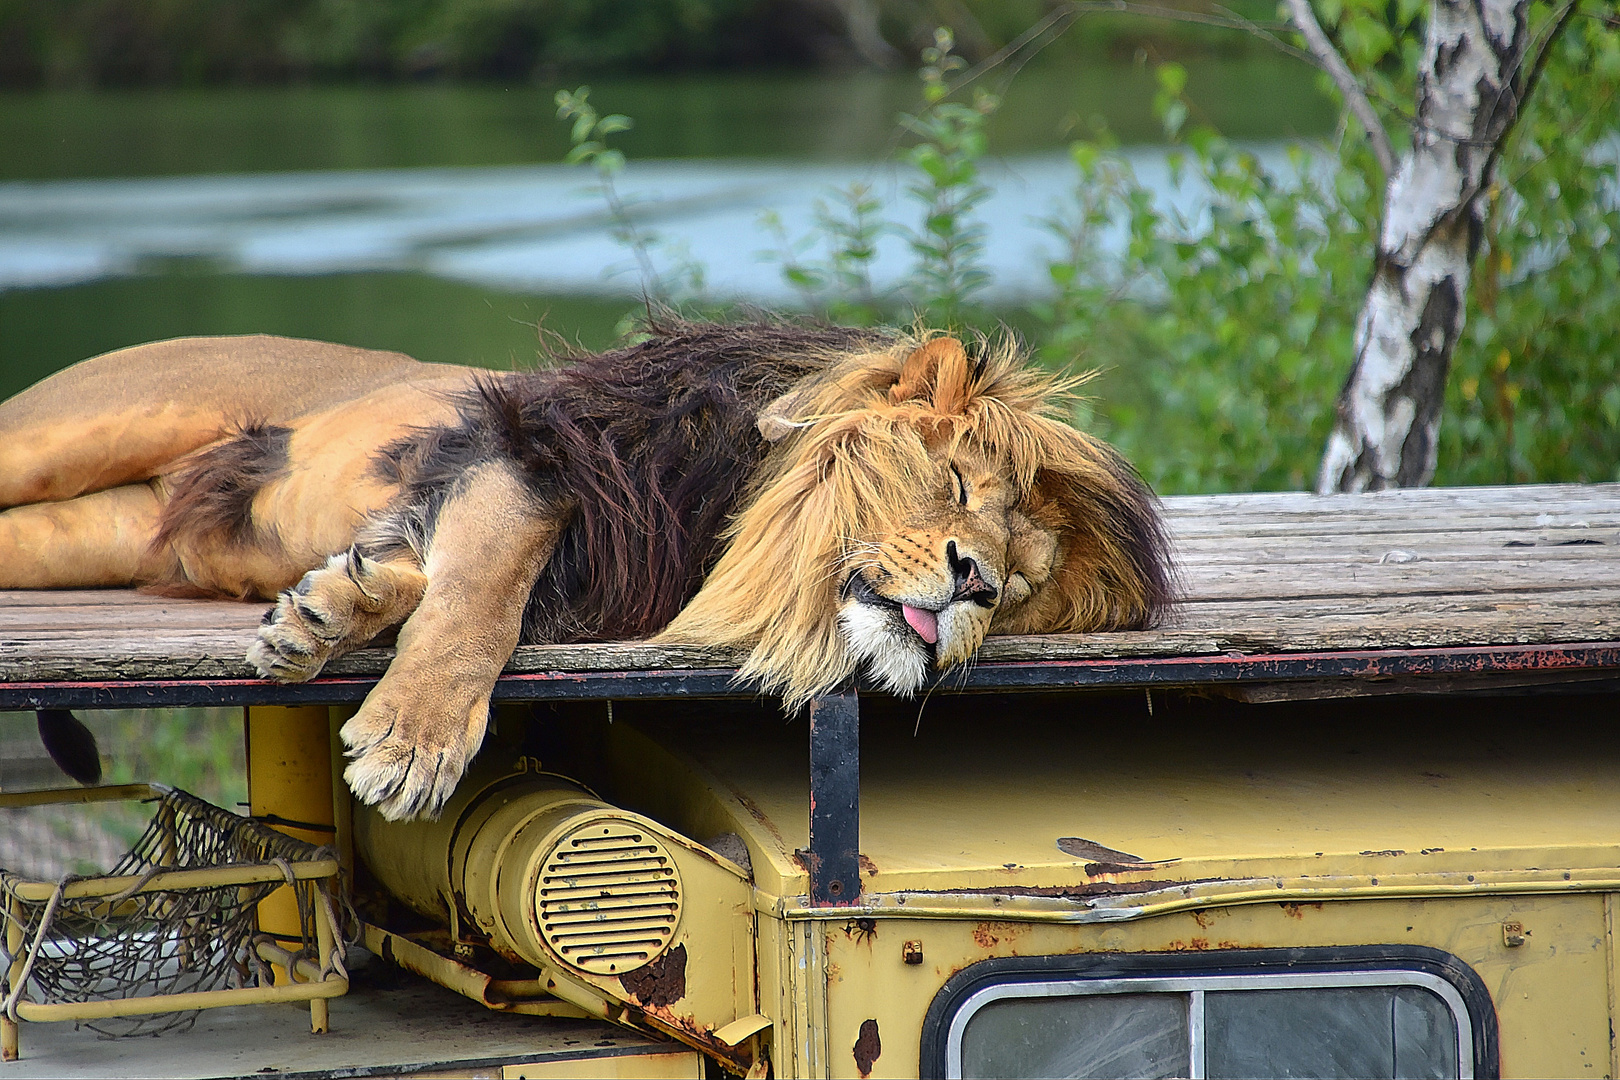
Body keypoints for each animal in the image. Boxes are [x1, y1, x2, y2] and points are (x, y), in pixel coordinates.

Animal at [0, 320, 1179, 819]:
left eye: (1022, 584)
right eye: (961, 487)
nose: (974, 580)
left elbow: (435, 578)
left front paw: (334, 606)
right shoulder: (535, 449)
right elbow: (483, 592)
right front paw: (415, 744)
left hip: (99, 532)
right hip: (78, 427)